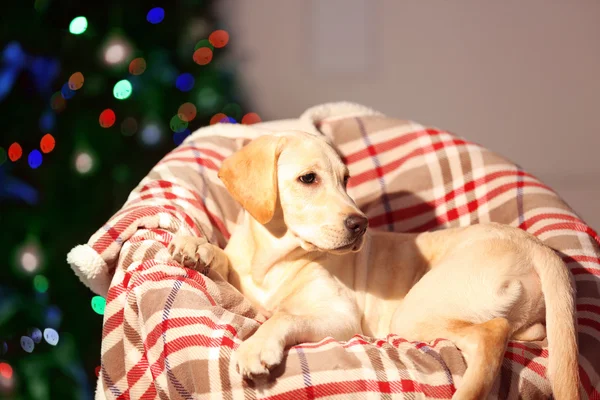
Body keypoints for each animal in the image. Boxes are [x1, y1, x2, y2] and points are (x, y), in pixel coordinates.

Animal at [169, 132, 580, 400]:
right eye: (308, 178)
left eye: (346, 179)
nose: (360, 224)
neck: (273, 260)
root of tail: (537, 246)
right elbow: (226, 262)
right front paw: (197, 246)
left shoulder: (340, 316)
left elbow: (284, 316)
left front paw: (257, 344)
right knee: (522, 331)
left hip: (416, 311)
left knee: (492, 333)